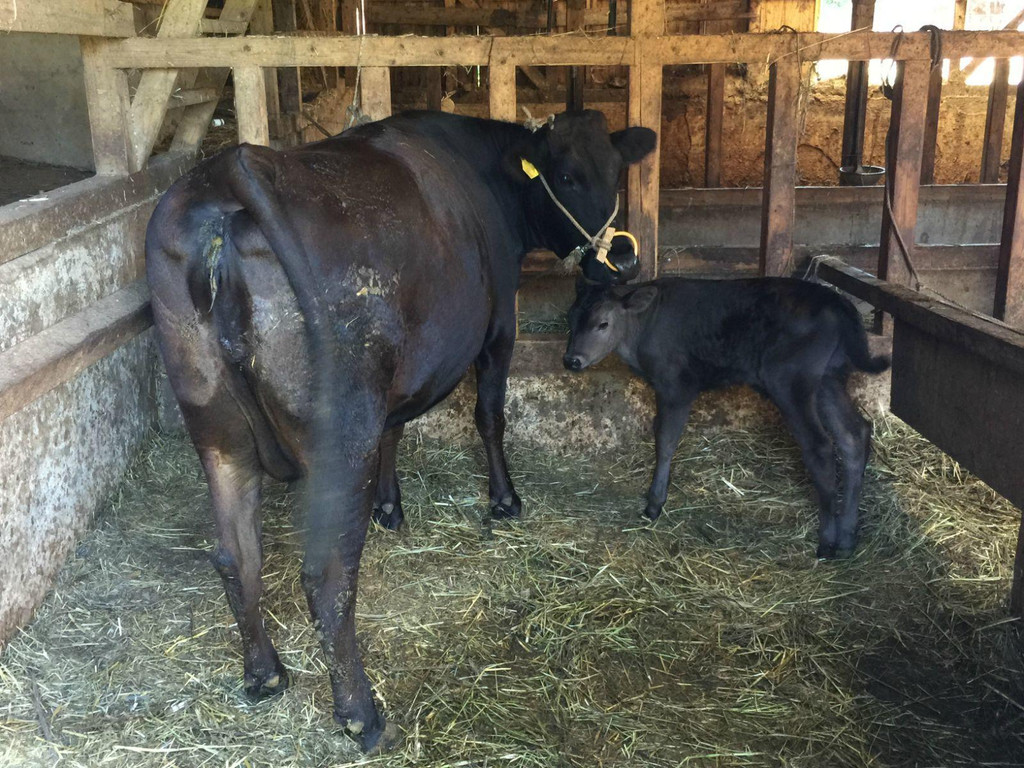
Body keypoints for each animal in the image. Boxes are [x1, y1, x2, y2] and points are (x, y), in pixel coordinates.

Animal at [144, 109, 655, 753]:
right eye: (566, 175)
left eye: (615, 170)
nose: (623, 261)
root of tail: (234, 169)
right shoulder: (500, 327)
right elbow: (490, 415)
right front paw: (504, 501)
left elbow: (396, 430)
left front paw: (391, 505)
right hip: (341, 433)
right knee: (327, 574)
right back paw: (362, 715)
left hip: (216, 428)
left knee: (237, 554)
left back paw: (265, 674)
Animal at [565, 276, 892, 561]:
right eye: (570, 319)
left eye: (603, 323)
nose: (571, 360)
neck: (643, 326)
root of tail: (836, 300)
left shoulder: (676, 386)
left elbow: (665, 440)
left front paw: (655, 503)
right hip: (828, 380)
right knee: (853, 435)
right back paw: (847, 540)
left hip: (791, 381)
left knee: (821, 447)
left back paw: (826, 542)